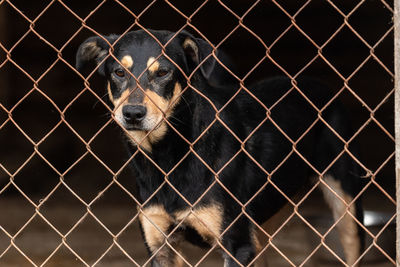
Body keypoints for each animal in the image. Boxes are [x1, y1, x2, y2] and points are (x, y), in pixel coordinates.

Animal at [76, 30, 364, 266]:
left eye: (163, 72)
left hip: (346, 204)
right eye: (119, 72)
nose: (133, 114)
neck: (169, 155)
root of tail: (320, 85)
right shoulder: (160, 246)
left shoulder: (236, 246)